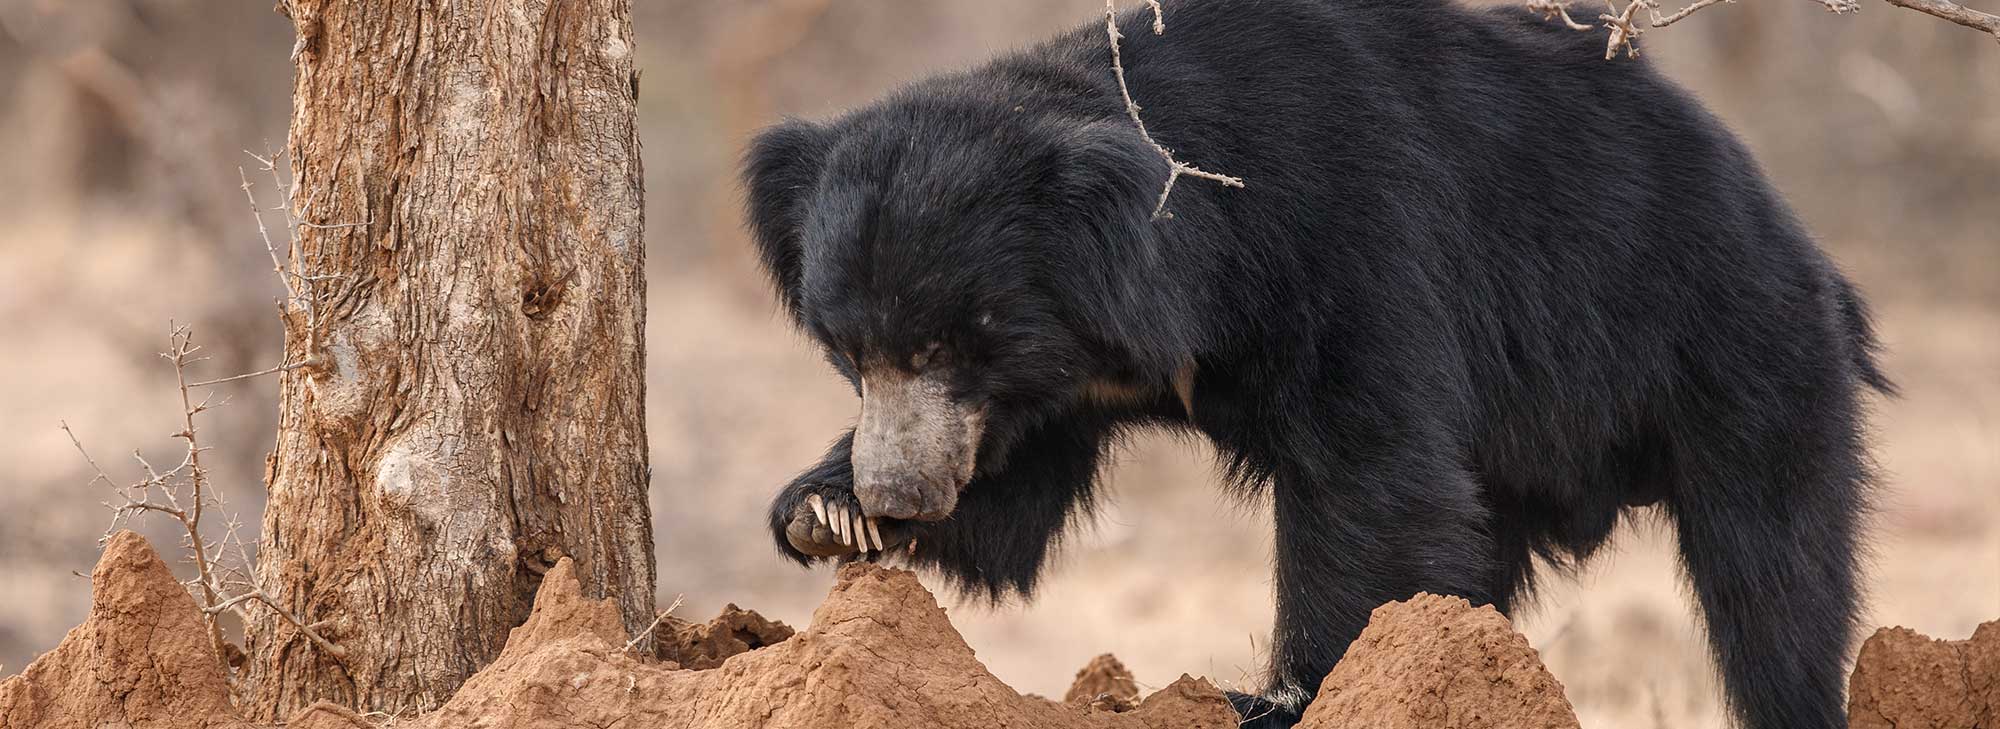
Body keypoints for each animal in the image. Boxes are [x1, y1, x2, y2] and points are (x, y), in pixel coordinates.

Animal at [744, 1, 1880, 729]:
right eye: (851, 352)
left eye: (946, 342)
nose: (897, 491)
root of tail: (1798, 241)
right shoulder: (1058, 383)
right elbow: (1012, 497)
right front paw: (825, 514)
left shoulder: (1349, 244)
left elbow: (1368, 477)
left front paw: (1281, 697)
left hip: (1734, 354)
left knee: (1772, 576)